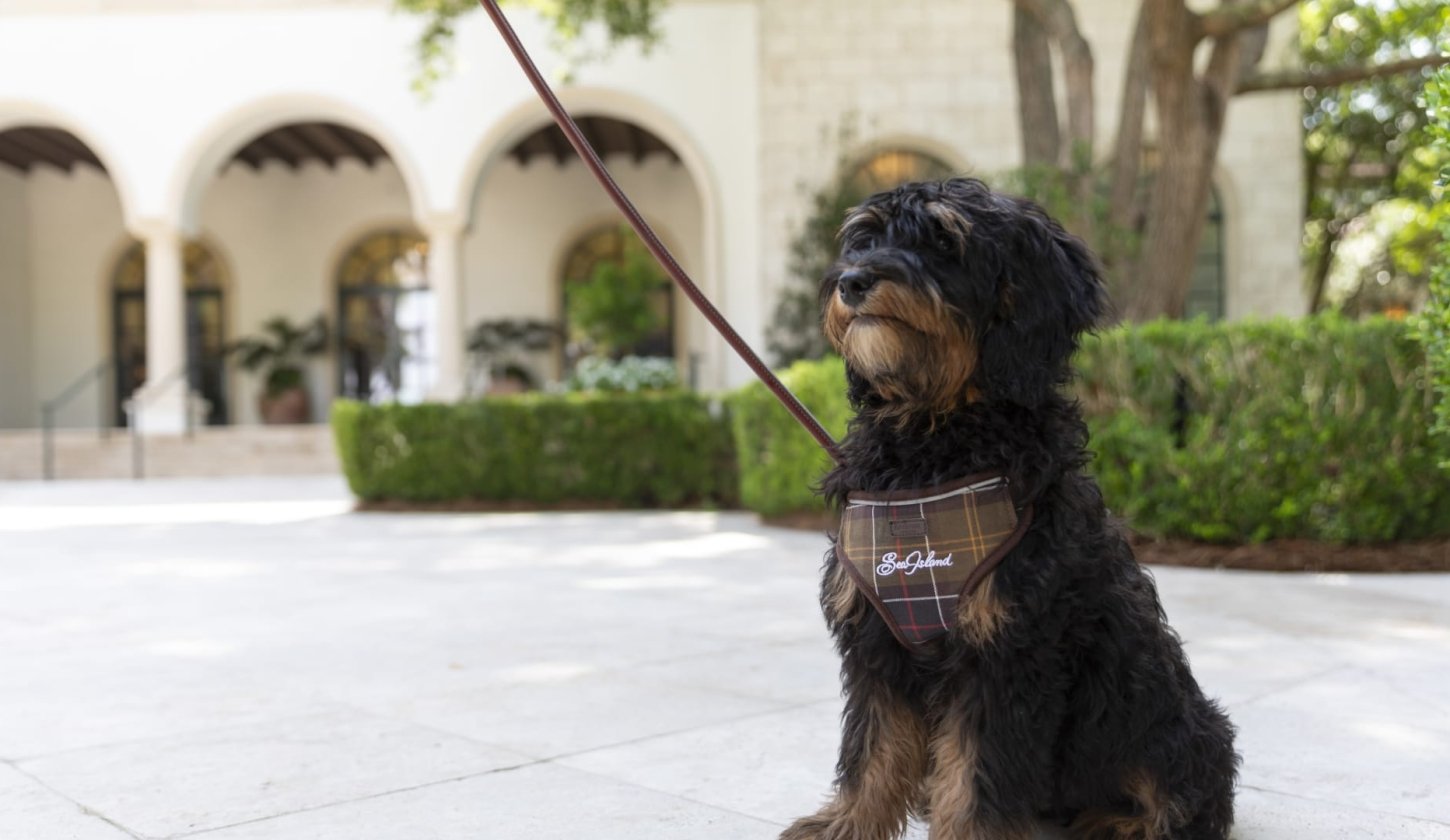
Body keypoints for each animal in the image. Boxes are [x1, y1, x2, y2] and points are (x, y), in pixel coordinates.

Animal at [788, 179, 1241, 840]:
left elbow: (979, 772)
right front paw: (848, 823)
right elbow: (873, 748)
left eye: (943, 242)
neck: (934, 441)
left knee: (1186, 799)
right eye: (864, 240)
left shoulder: (1008, 648)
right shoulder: (877, 636)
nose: (852, 281)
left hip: (1164, 717)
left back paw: (1121, 823)